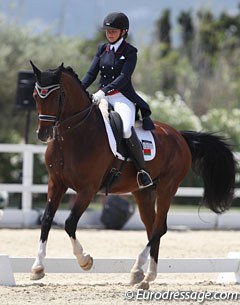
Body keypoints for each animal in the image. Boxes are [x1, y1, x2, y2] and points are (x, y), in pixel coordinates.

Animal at [29, 60, 235, 288]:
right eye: (35, 96)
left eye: (58, 96)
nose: (43, 134)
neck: (72, 136)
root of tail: (180, 136)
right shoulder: (56, 183)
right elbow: (46, 220)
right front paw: (37, 268)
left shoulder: (87, 189)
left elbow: (69, 223)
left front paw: (85, 260)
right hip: (143, 192)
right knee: (152, 226)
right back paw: (146, 276)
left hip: (168, 187)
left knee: (159, 228)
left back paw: (139, 270)